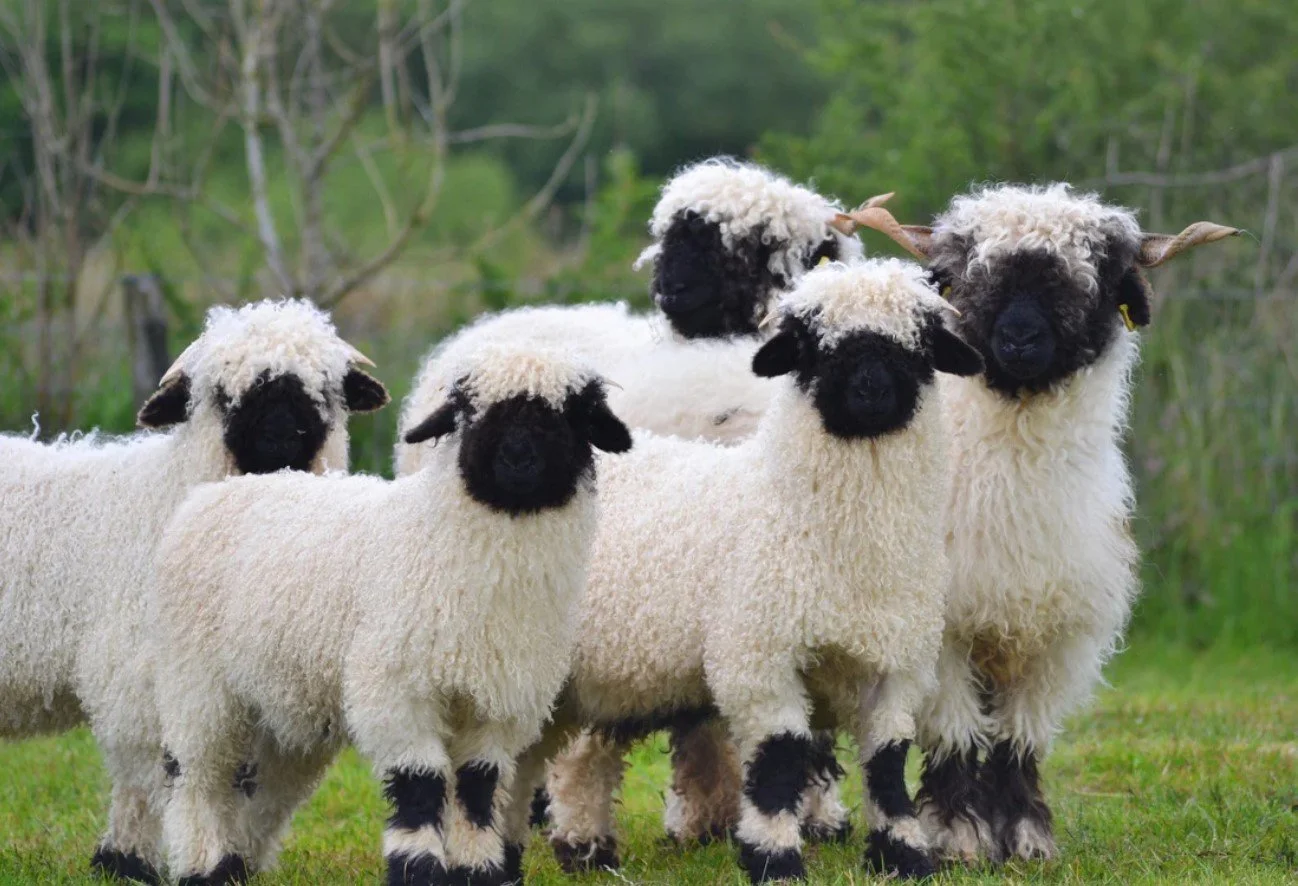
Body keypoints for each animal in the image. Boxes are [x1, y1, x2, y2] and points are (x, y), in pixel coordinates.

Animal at [0, 298, 388, 884]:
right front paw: (132, 860)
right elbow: (154, 775)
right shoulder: (136, 677)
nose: (281, 441)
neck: (167, 499)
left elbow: (263, 790)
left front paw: (234, 858)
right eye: (222, 395)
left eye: (324, 391)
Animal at [148, 342, 633, 886]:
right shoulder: (398, 689)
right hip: (197, 680)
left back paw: (233, 864)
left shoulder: (499, 700)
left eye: (570, 414)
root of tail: (219, 491)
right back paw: (203, 864)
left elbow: (477, 787)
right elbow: (420, 783)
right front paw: (419, 868)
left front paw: (476, 869)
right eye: (468, 411)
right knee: (196, 774)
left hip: (273, 695)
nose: (516, 458)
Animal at [492, 259, 986, 883]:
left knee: (550, 759)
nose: (870, 391)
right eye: (812, 346)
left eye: (916, 346)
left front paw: (904, 855)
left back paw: (558, 853)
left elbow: (889, 763)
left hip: (601, 672)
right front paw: (776, 859)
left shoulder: (897, 666)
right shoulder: (759, 655)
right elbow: (779, 759)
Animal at [843, 183, 1239, 863]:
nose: (1020, 339)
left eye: (1096, 276)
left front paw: (1025, 835)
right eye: (963, 275)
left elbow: (1018, 739)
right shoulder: (943, 632)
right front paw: (957, 835)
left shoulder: (1055, 635)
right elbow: (954, 733)